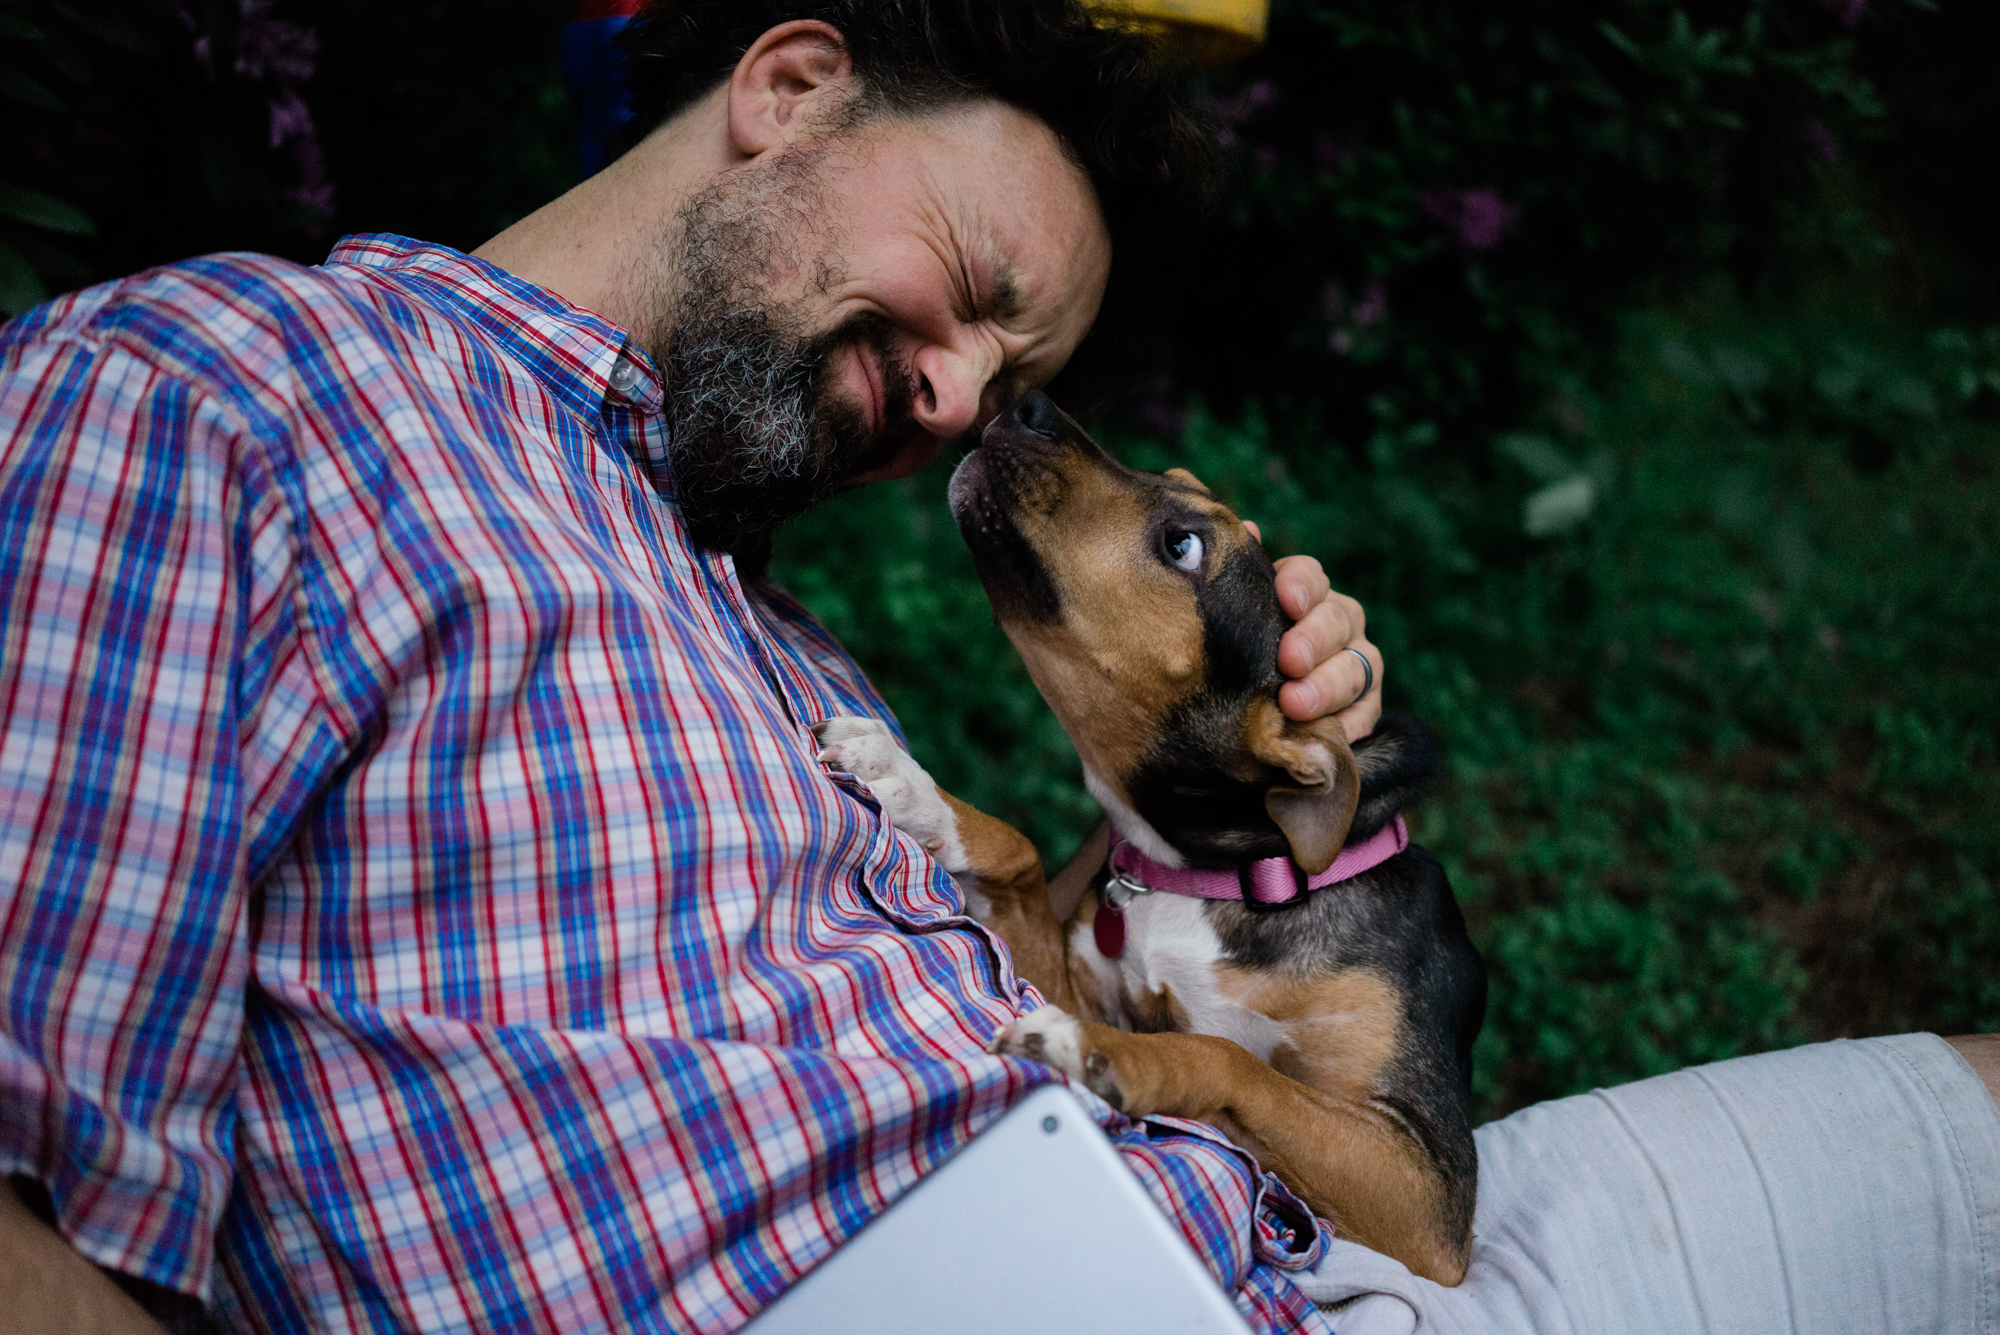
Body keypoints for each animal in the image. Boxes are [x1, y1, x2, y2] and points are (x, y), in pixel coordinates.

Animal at [812, 387, 1488, 1279]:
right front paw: (905, 780)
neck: (1220, 872)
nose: (1029, 405)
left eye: (1183, 545)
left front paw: (1096, 1054)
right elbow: (1021, 851)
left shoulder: (1426, 1189)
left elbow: (1225, 1055)